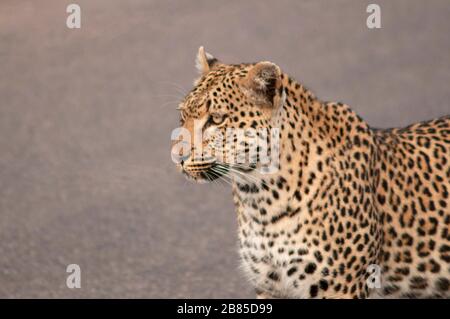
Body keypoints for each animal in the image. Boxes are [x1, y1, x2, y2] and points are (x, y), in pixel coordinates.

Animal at [172, 46, 450, 298]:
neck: (259, 198)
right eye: (183, 116)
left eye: (216, 119)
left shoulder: (342, 287)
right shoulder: (270, 285)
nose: (177, 156)